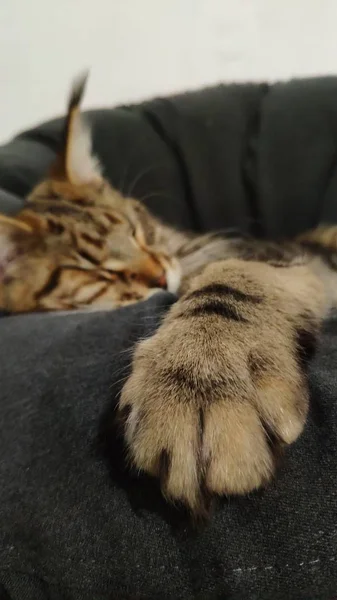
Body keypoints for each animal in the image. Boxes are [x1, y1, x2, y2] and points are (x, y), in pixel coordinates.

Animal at [0, 74, 336, 516]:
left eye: (138, 229)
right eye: (98, 272)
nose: (160, 274)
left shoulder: (285, 254)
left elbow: (226, 283)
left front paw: (199, 376)